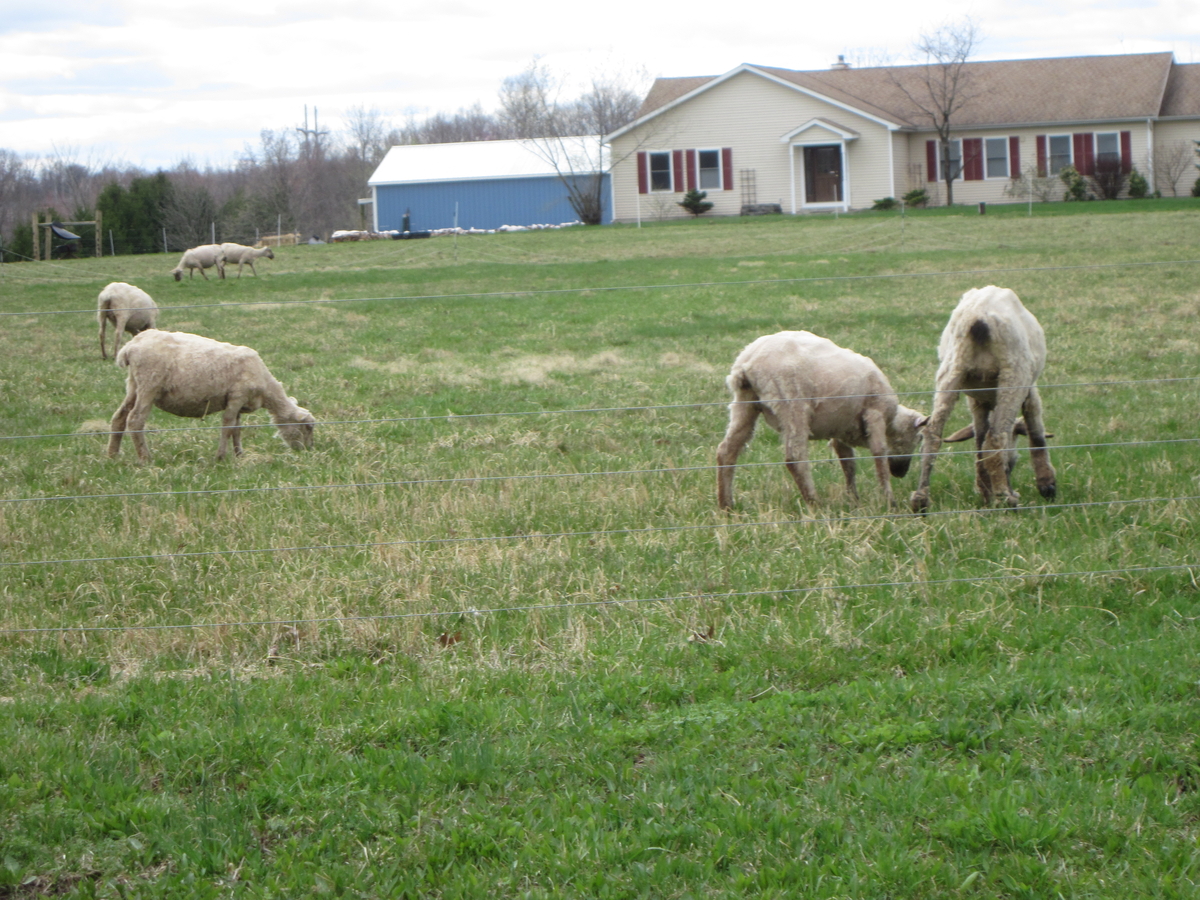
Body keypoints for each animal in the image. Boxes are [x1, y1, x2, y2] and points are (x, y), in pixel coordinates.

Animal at [107, 330, 315, 464]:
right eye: (308, 427)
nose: (308, 450)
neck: (266, 390)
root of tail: (130, 346)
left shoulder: (238, 403)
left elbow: (237, 430)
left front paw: (239, 455)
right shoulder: (237, 396)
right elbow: (227, 426)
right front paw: (221, 457)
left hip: (133, 384)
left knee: (119, 417)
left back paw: (112, 456)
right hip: (149, 383)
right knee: (135, 419)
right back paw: (145, 458)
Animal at [717, 331, 928, 510]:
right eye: (919, 438)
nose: (900, 473)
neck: (892, 423)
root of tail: (748, 362)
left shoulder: (842, 428)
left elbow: (848, 463)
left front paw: (853, 498)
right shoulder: (874, 414)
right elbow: (879, 454)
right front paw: (889, 501)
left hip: (745, 402)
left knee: (726, 450)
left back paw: (726, 505)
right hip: (792, 403)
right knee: (795, 457)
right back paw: (814, 502)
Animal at [909, 285, 1057, 513]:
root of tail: (977, 319)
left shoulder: (976, 401)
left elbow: (978, 440)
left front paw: (984, 490)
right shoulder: (1029, 389)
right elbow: (1035, 427)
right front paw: (1046, 485)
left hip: (951, 371)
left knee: (932, 434)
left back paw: (920, 500)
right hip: (1013, 375)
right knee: (995, 439)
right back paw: (1006, 499)